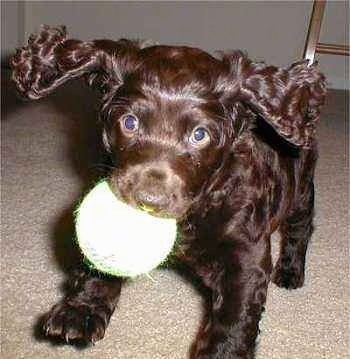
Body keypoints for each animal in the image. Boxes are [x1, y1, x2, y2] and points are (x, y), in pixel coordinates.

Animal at [11, 26, 328, 359]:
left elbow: (235, 312)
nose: (149, 202)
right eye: (129, 123)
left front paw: (223, 351)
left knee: (301, 229)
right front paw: (81, 309)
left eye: (199, 135)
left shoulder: (246, 250)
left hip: (301, 189)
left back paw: (291, 270)